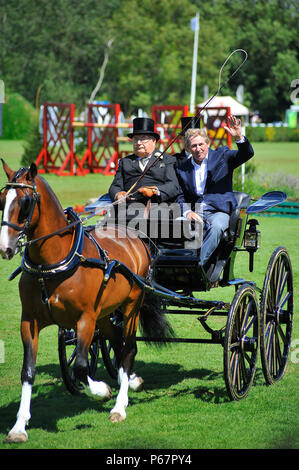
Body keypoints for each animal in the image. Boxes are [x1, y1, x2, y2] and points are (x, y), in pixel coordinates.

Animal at [0, 160, 173, 442]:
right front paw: (18, 427)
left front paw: (102, 390)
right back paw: (130, 381)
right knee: (117, 343)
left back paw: (119, 405)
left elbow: (81, 365)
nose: (6, 248)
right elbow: (28, 371)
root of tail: (135, 236)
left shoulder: (85, 319)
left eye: (25, 202)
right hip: (105, 315)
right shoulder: (30, 322)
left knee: (128, 349)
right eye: (2, 198)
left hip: (131, 308)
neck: (51, 264)